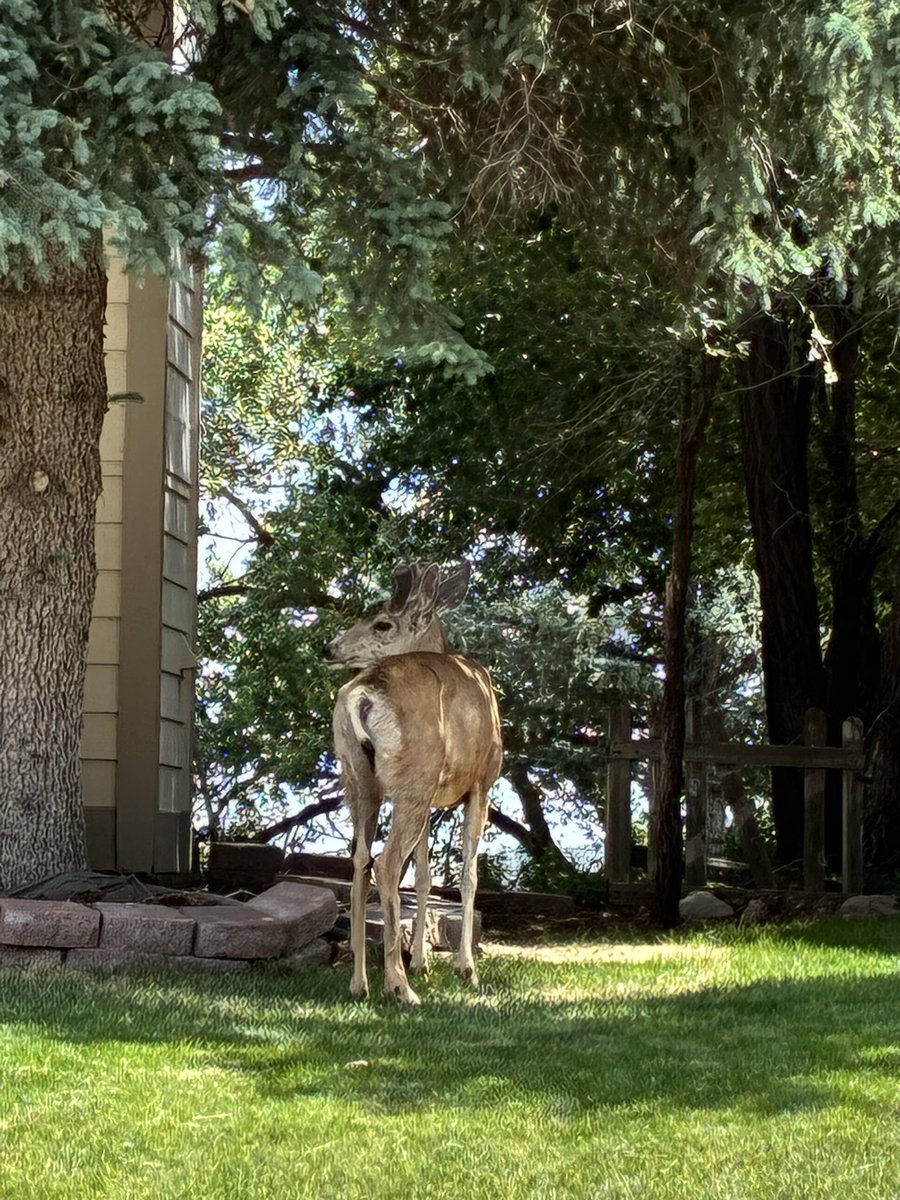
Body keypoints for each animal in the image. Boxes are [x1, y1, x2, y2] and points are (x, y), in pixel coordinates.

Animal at [323, 562, 503, 1005]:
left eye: (382, 623)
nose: (328, 648)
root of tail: (363, 692)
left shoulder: (434, 799)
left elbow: (423, 877)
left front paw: (422, 960)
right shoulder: (481, 782)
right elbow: (468, 873)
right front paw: (466, 969)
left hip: (359, 779)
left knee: (360, 860)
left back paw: (360, 982)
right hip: (414, 775)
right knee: (386, 864)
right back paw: (400, 986)